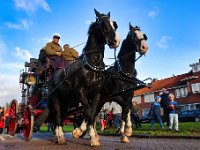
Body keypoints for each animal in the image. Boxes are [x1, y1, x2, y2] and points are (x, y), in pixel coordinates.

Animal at [41, 8, 120, 146]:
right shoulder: (80, 91)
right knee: (57, 116)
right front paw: (88, 135)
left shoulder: (96, 94)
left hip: (66, 100)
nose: (116, 41)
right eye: (103, 24)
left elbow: (91, 113)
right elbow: (88, 112)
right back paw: (60, 137)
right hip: (55, 97)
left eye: (114, 24)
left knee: (60, 117)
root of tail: (53, 75)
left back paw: (58, 137)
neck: (92, 65)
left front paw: (83, 132)